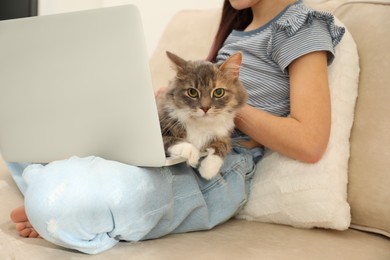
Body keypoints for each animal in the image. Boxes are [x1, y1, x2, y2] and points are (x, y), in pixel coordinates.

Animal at [156, 50, 245, 179]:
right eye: (192, 92)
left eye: (219, 92)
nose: (205, 108)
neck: (201, 124)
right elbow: (170, 139)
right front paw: (191, 151)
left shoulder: (224, 133)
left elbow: (223, 144)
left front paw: (208, 169)